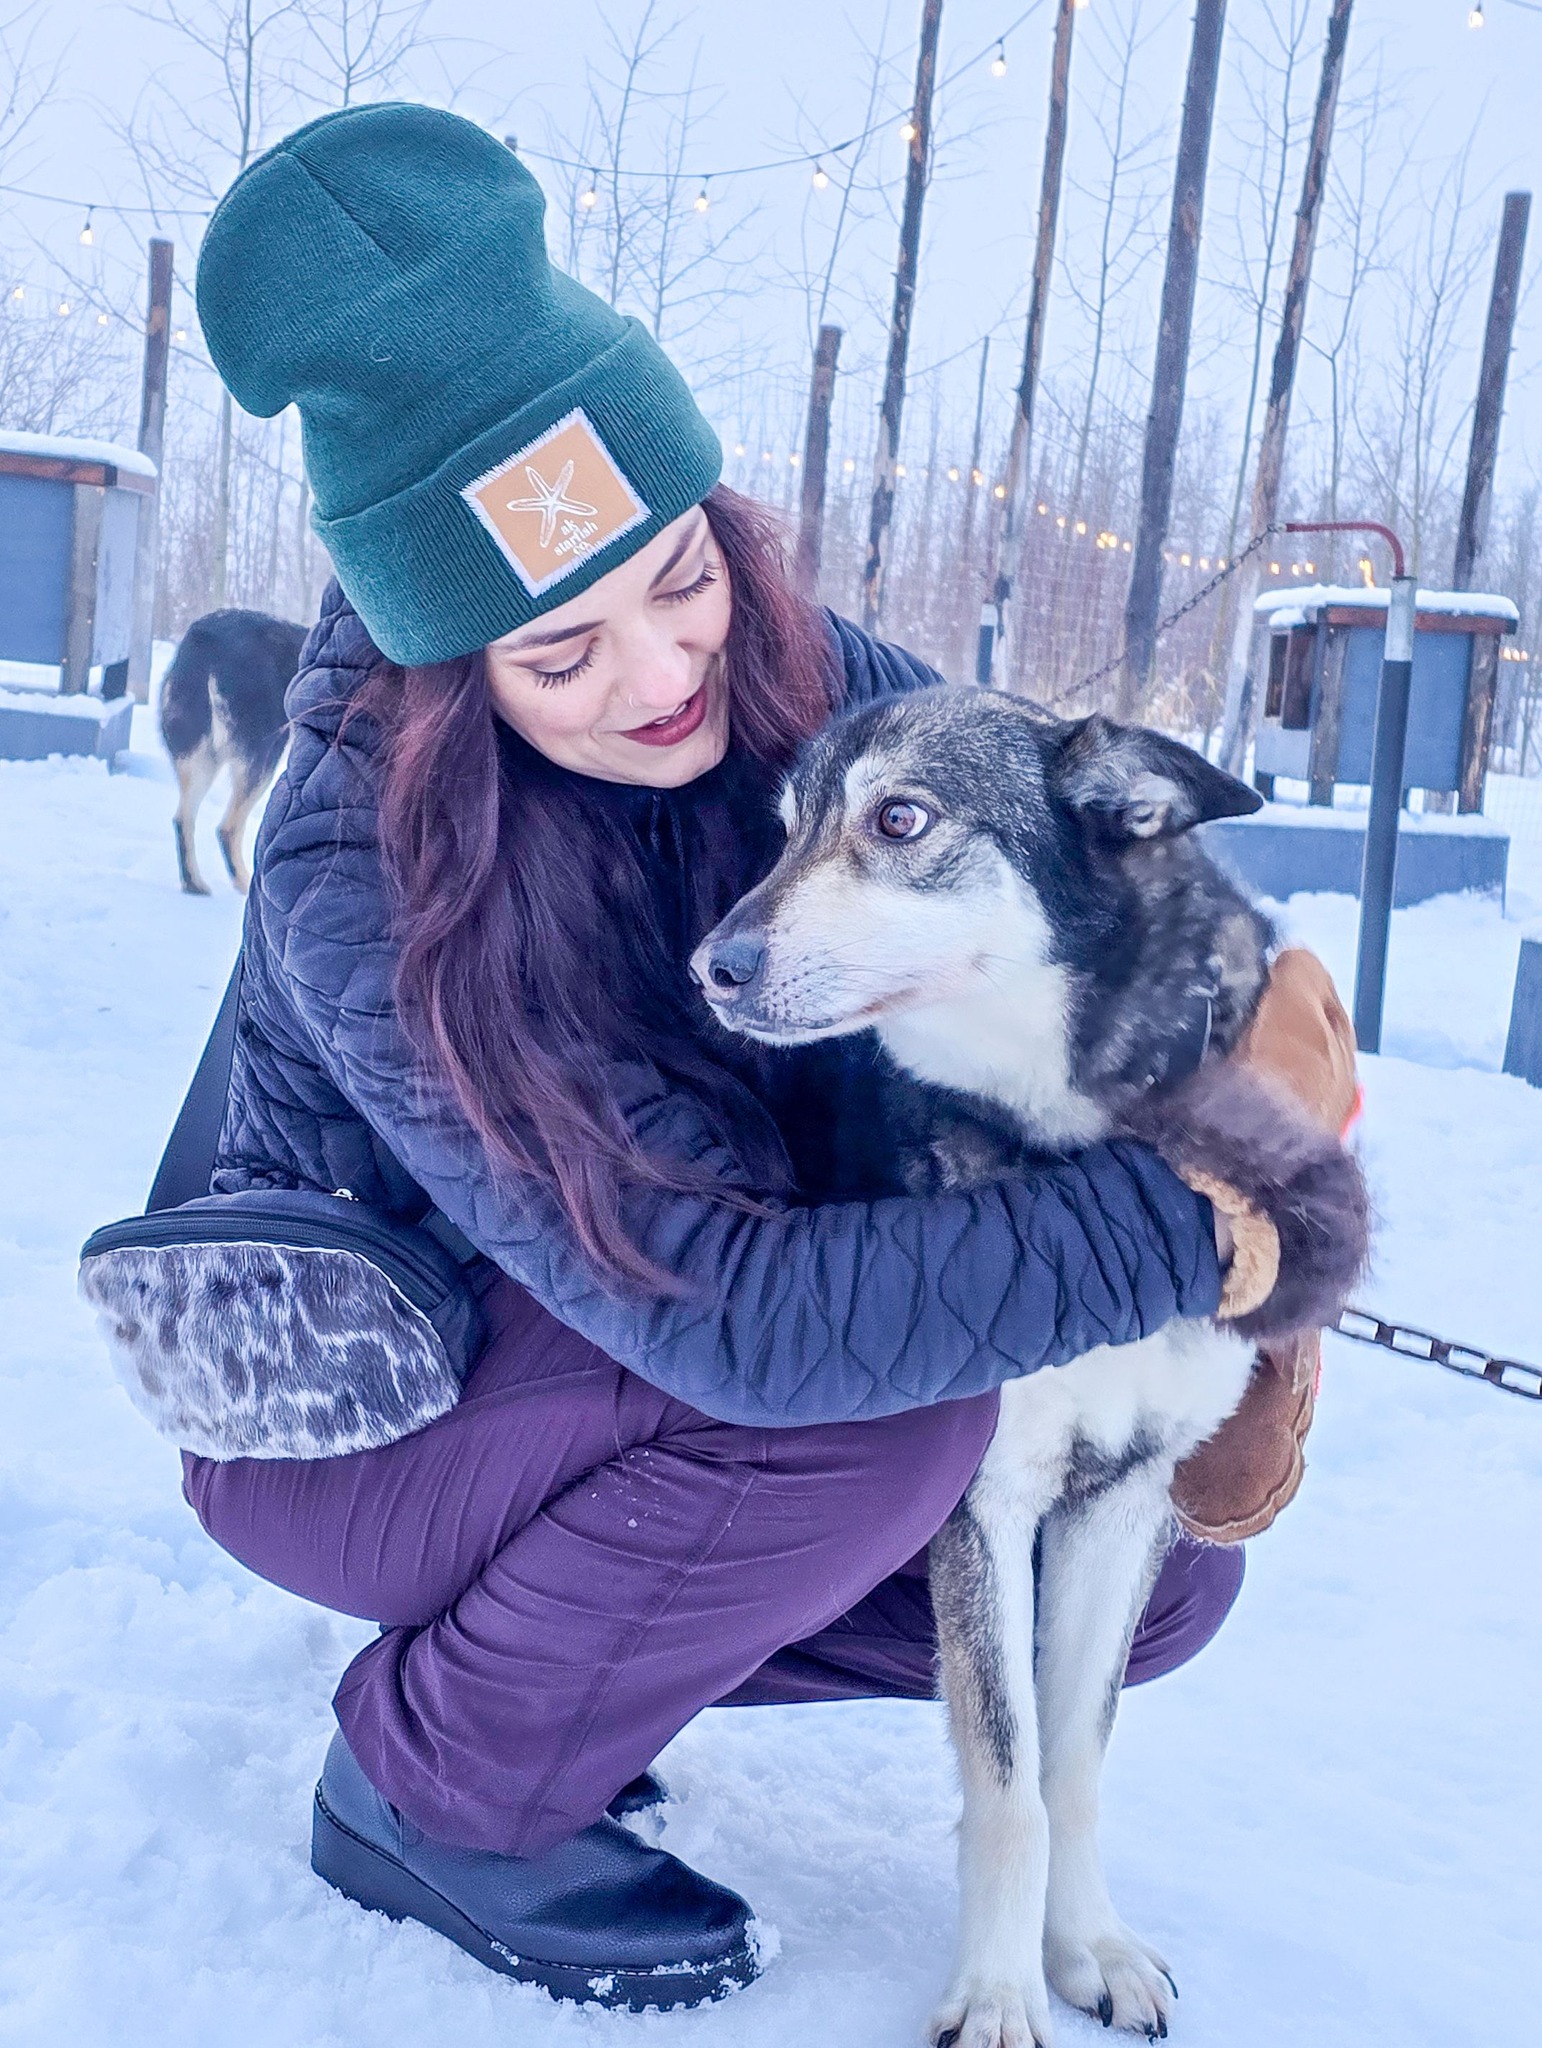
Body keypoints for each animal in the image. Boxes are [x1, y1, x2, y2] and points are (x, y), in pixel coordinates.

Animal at [158, 608, 306, 895]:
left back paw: (194, 882)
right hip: (266, 752)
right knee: (228, 827)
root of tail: (205, 635)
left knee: (183, 819)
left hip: (200, 759)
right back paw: (245, 884)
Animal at [692, 687, 1368, 2048]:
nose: (712, 965)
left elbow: (1074, 1764)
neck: (1072, 1139)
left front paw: (1085, 1946)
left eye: (900, 819)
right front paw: (1000, 1995)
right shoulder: (988, 1502)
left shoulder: (1127, 1499)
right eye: (786, 828)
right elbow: (1010, 1782)